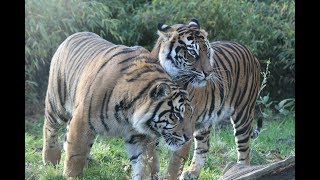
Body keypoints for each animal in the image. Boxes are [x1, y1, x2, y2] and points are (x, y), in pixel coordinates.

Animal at [41, 31, 194, 179]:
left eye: (190, 115)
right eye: (176, 115)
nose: (188, 138)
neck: (129, 113)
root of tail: (72, 35)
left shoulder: (139, 137)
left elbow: (143, 163)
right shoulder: (82, 122)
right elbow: (76, 155)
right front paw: (72, 176)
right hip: (57, 104)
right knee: (50, 128)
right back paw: (50, 160)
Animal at [151, 19, 262, 179]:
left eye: (208, 52)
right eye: (192, 53)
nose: (209, 72)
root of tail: (250, 53)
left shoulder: (186, 123)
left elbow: (176, 161)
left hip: (243, 114)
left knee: (244, 150)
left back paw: (241, 170)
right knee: (203, 147)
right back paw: (192, 172)